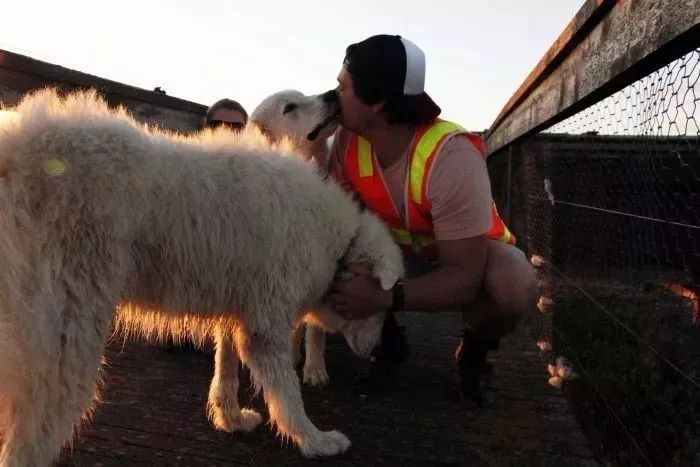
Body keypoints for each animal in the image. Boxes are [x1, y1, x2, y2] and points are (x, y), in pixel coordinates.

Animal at [0, 87, 402, 464]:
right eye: (381, 304)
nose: (380, 350)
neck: (334, 238)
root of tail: (16, 149)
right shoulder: (265, 325)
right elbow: (288, 395)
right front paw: (316, 441)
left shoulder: (237, 307)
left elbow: (226, 369)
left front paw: (232, 419)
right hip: (67, 334)